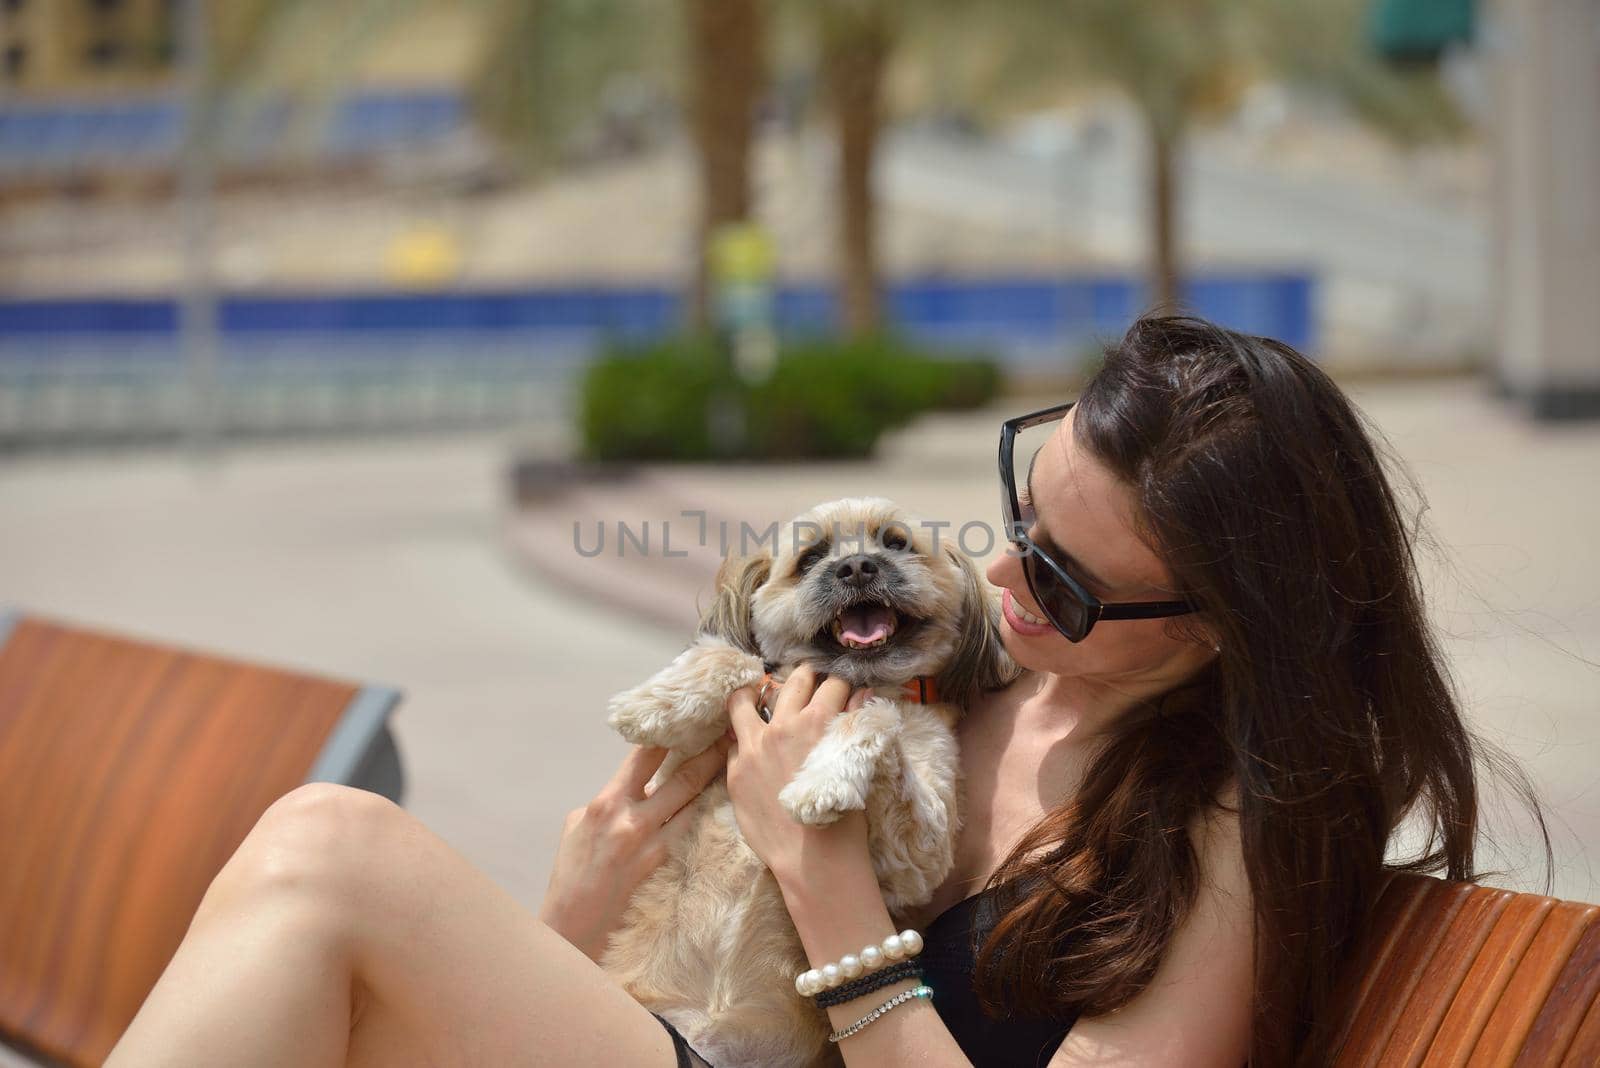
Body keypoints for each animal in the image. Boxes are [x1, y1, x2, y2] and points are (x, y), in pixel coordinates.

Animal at [601, 495, 1011, 1061]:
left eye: (897, 542)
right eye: (811, 557)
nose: (857, 566)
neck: (856, 682)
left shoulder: (916, 860)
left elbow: (876, 717)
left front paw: (823, 782)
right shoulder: (684, 767)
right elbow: (735, 658)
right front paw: (650, 703)